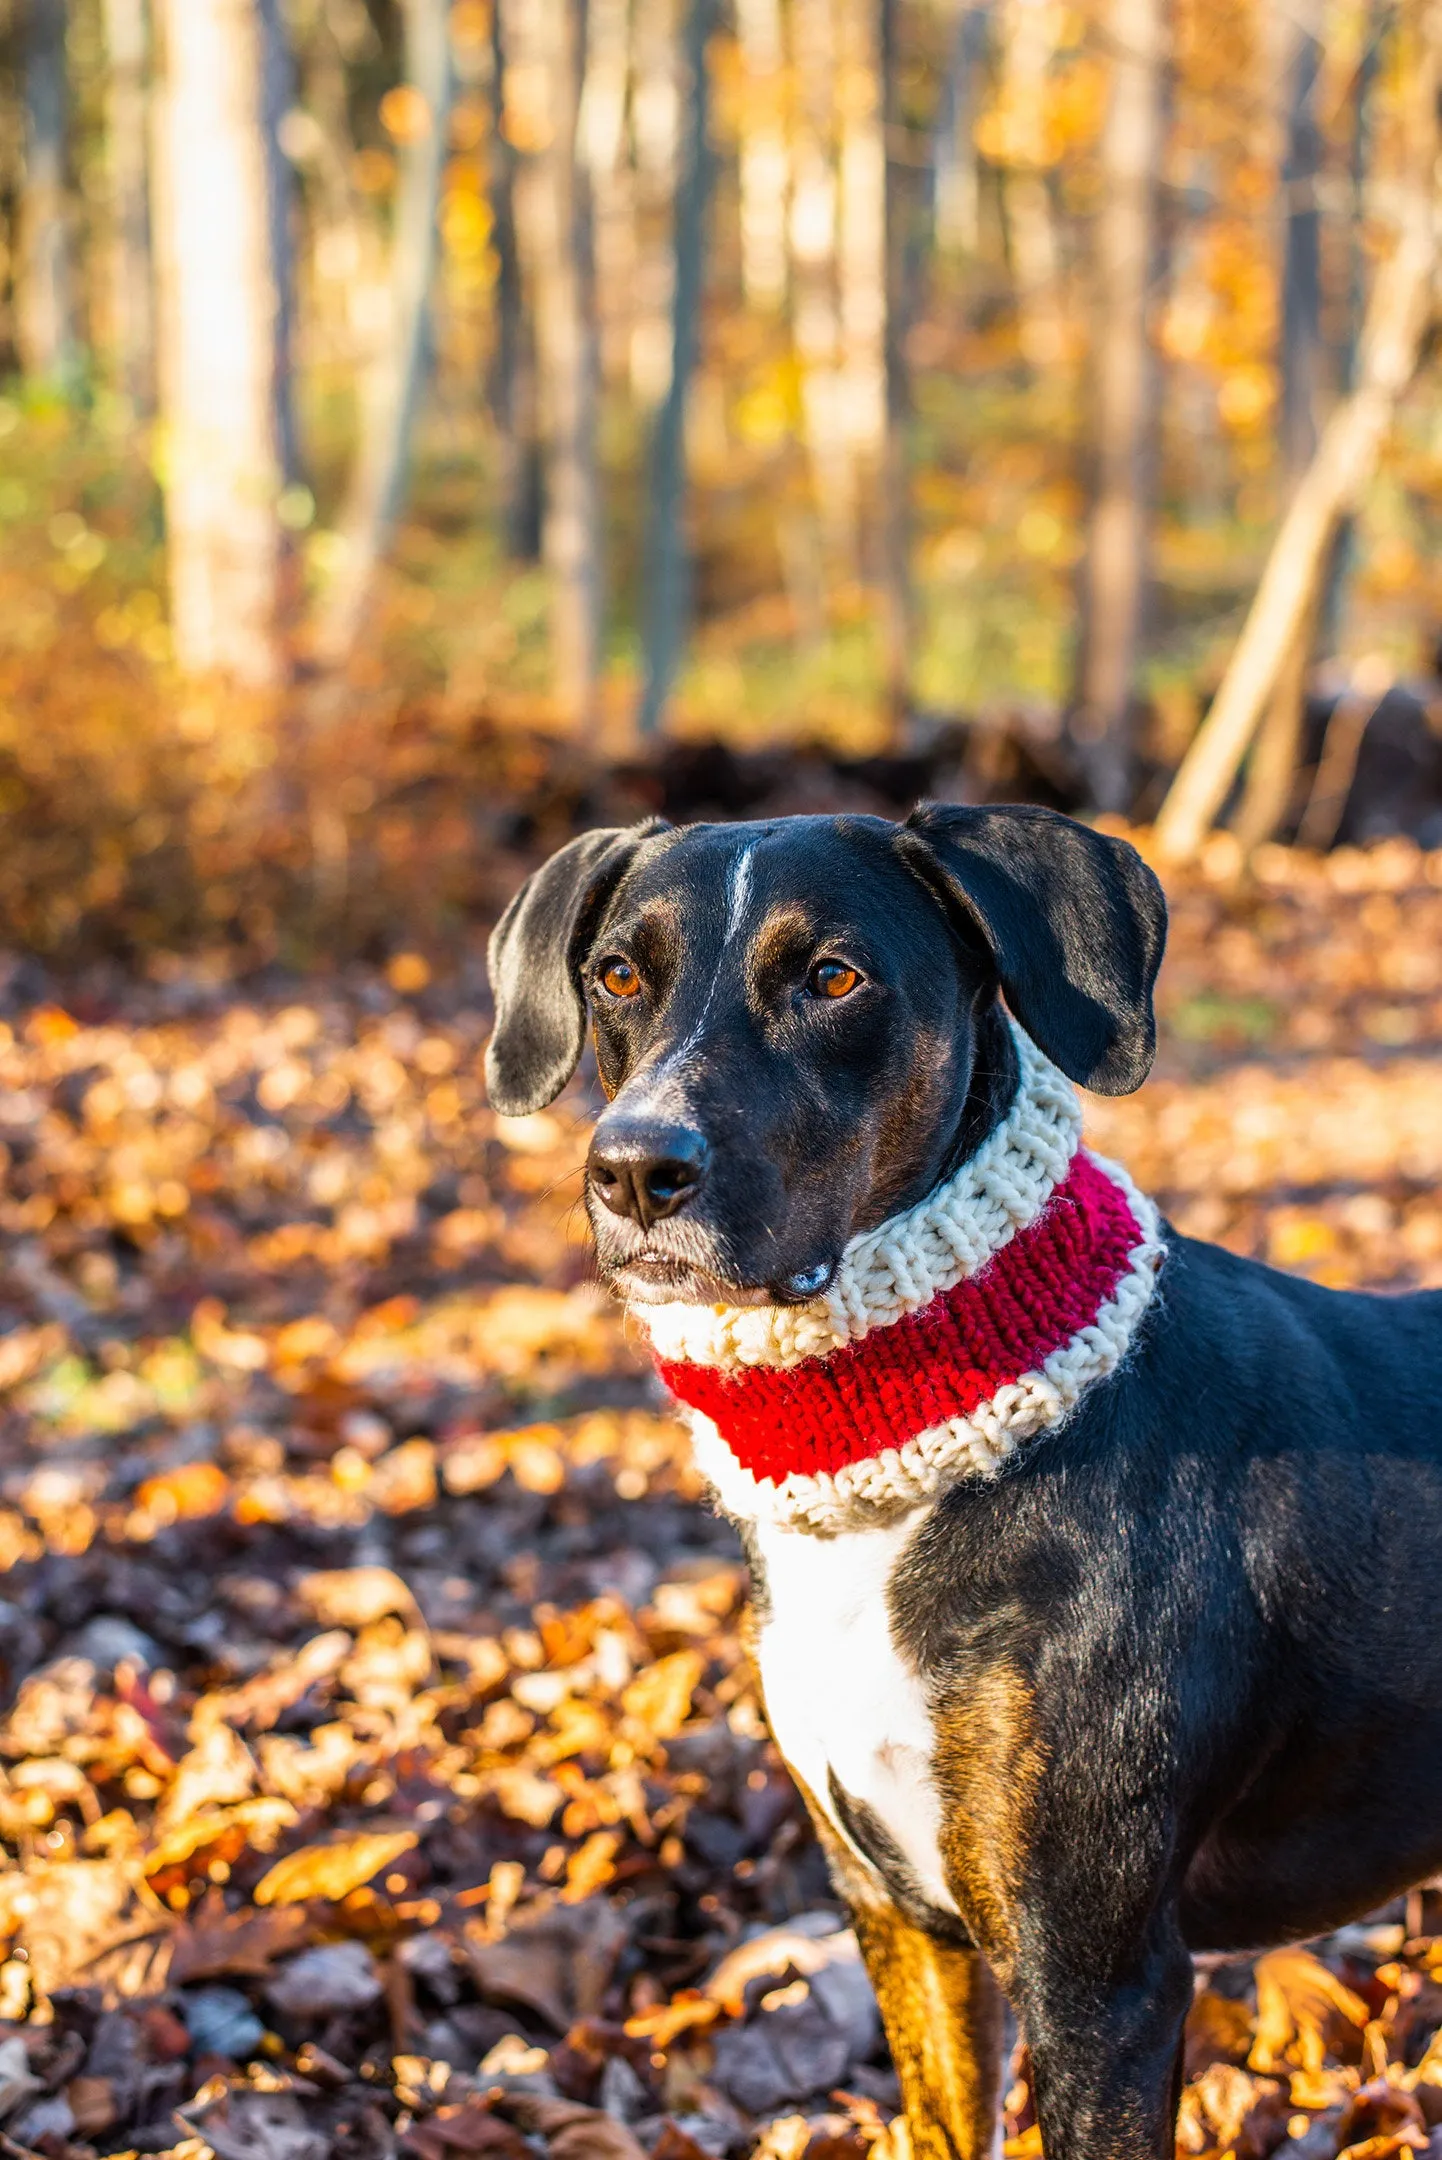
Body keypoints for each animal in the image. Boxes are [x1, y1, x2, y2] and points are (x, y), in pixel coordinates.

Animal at [481, 807, 1442, 2160]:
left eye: (833, 978)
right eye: (617, 975)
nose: (631, 1170)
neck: (889, 1464)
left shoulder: (1099, 1980)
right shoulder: (901, 1922)